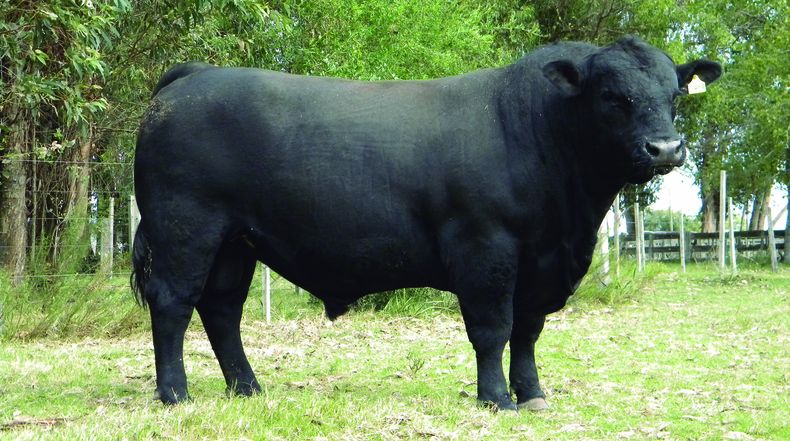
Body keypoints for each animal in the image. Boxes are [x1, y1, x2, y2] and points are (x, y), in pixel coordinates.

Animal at [132, 36, 721, 410]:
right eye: (612, 96)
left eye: (674, 95)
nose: (666, 148)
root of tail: (195, 75)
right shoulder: (486, 249)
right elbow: (493, 329)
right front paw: (496, 399)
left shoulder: (542, 263)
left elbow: (528, 332)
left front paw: (532, 395)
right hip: (186, 230)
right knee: (174, 304)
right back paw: (176, 395)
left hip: (235, 243)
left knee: (222, 310)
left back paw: (248, 388)